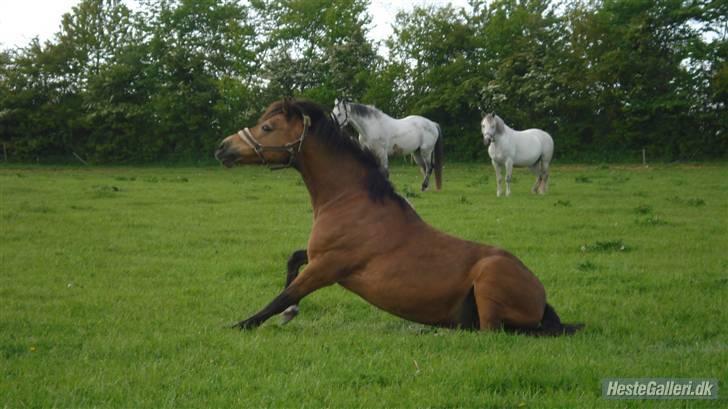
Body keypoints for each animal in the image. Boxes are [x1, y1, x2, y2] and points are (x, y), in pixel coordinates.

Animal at [213, 99, 584, 334]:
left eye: (267, 127)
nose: (222, 148)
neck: (350, 199)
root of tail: (541, 298)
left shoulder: (328, 267)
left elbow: (281, 298)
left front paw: (240, 324)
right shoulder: (318, 256)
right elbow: (292, 261)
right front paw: (290, 314)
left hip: (489, 283)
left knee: (496, 333)